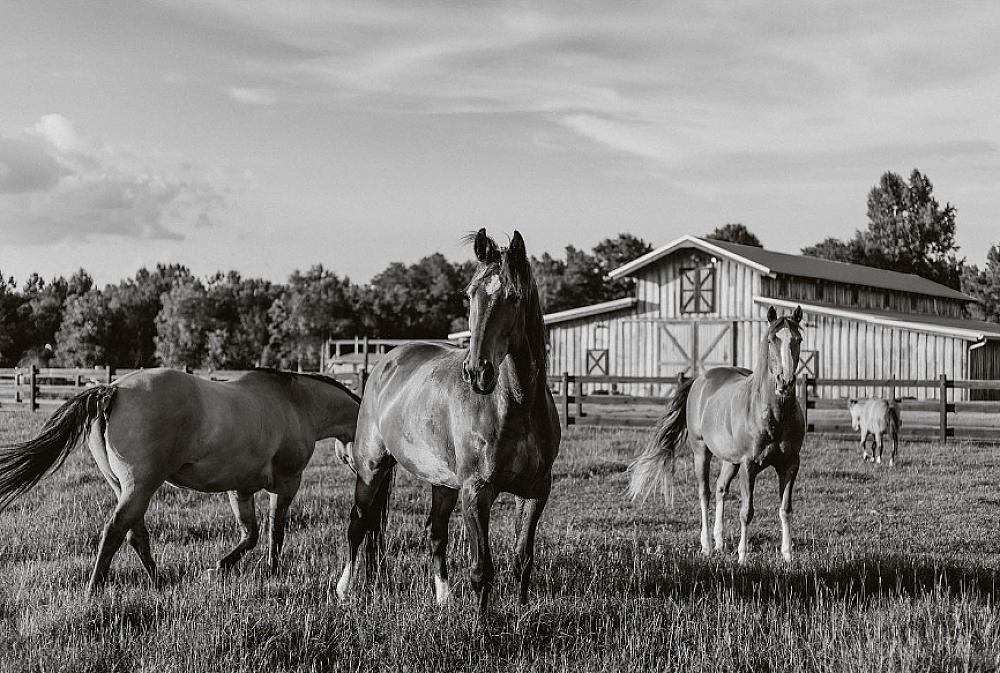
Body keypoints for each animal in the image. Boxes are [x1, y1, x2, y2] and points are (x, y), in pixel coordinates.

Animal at [0, 368, 360, 593]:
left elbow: (251, 534)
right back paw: (94, 589)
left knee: (135, 534)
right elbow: (275, 531)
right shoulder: (287, 482)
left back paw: (156, 581)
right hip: (140, 488)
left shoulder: (240, 489)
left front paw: (220, 567)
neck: (295, 402)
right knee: (114, 532)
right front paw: (271, 569)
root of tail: (113, 389)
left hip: (126, 489)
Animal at [335, 229, 560, 615]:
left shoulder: (535, 491)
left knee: (433, 533)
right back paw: (344, 590)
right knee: (358, 522)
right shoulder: (476, 491)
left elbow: (522, 559)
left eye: (514, 297)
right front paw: (483, 626)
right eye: (470, 294)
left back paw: (443, 599)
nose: (477, 372)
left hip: (442, 482)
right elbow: (482, 569)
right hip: (372, 467)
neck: (517, 405)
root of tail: (385, 362)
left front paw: (520, 612)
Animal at [629, 306, 805, 564]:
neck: (773, 414)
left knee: (721, 489)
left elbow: (785, 509)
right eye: (771, 340)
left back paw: (720, 541)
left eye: (798, 339)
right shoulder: (749, 465)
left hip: (730, 460)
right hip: (701, 452)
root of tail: (700, 379)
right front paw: (743, 557)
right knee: (705, 493)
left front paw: (788, 556)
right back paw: (707, 546)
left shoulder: (790, 465)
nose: (785, 382)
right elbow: (746, 511)